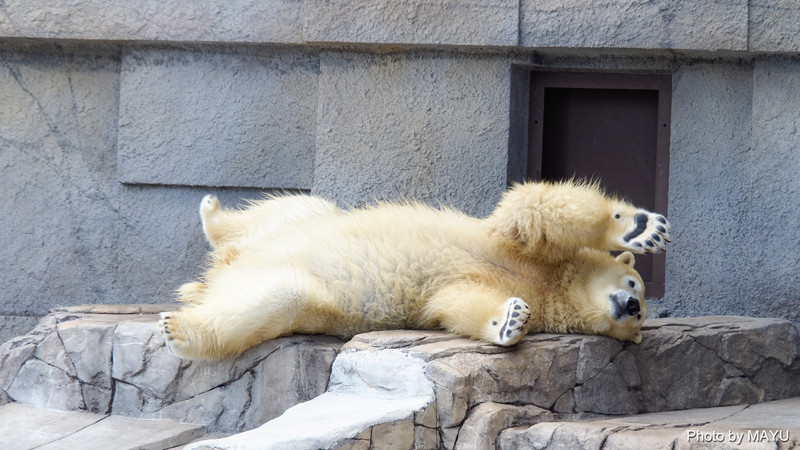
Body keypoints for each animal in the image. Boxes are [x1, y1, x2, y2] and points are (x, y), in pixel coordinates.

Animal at [158, 181, 668, 360]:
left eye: (641, 316)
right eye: (633, 283)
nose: (631, 305)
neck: (552, 283)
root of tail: (220, 271)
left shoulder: (510, 289)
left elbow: (458, 303)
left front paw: (511, 321)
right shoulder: (516, 248)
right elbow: (532, 212)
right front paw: (639, 228)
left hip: (290, 285)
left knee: (272, 299)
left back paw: (181, 326)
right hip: (299, 226)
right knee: (297, 207)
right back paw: (212, 211)